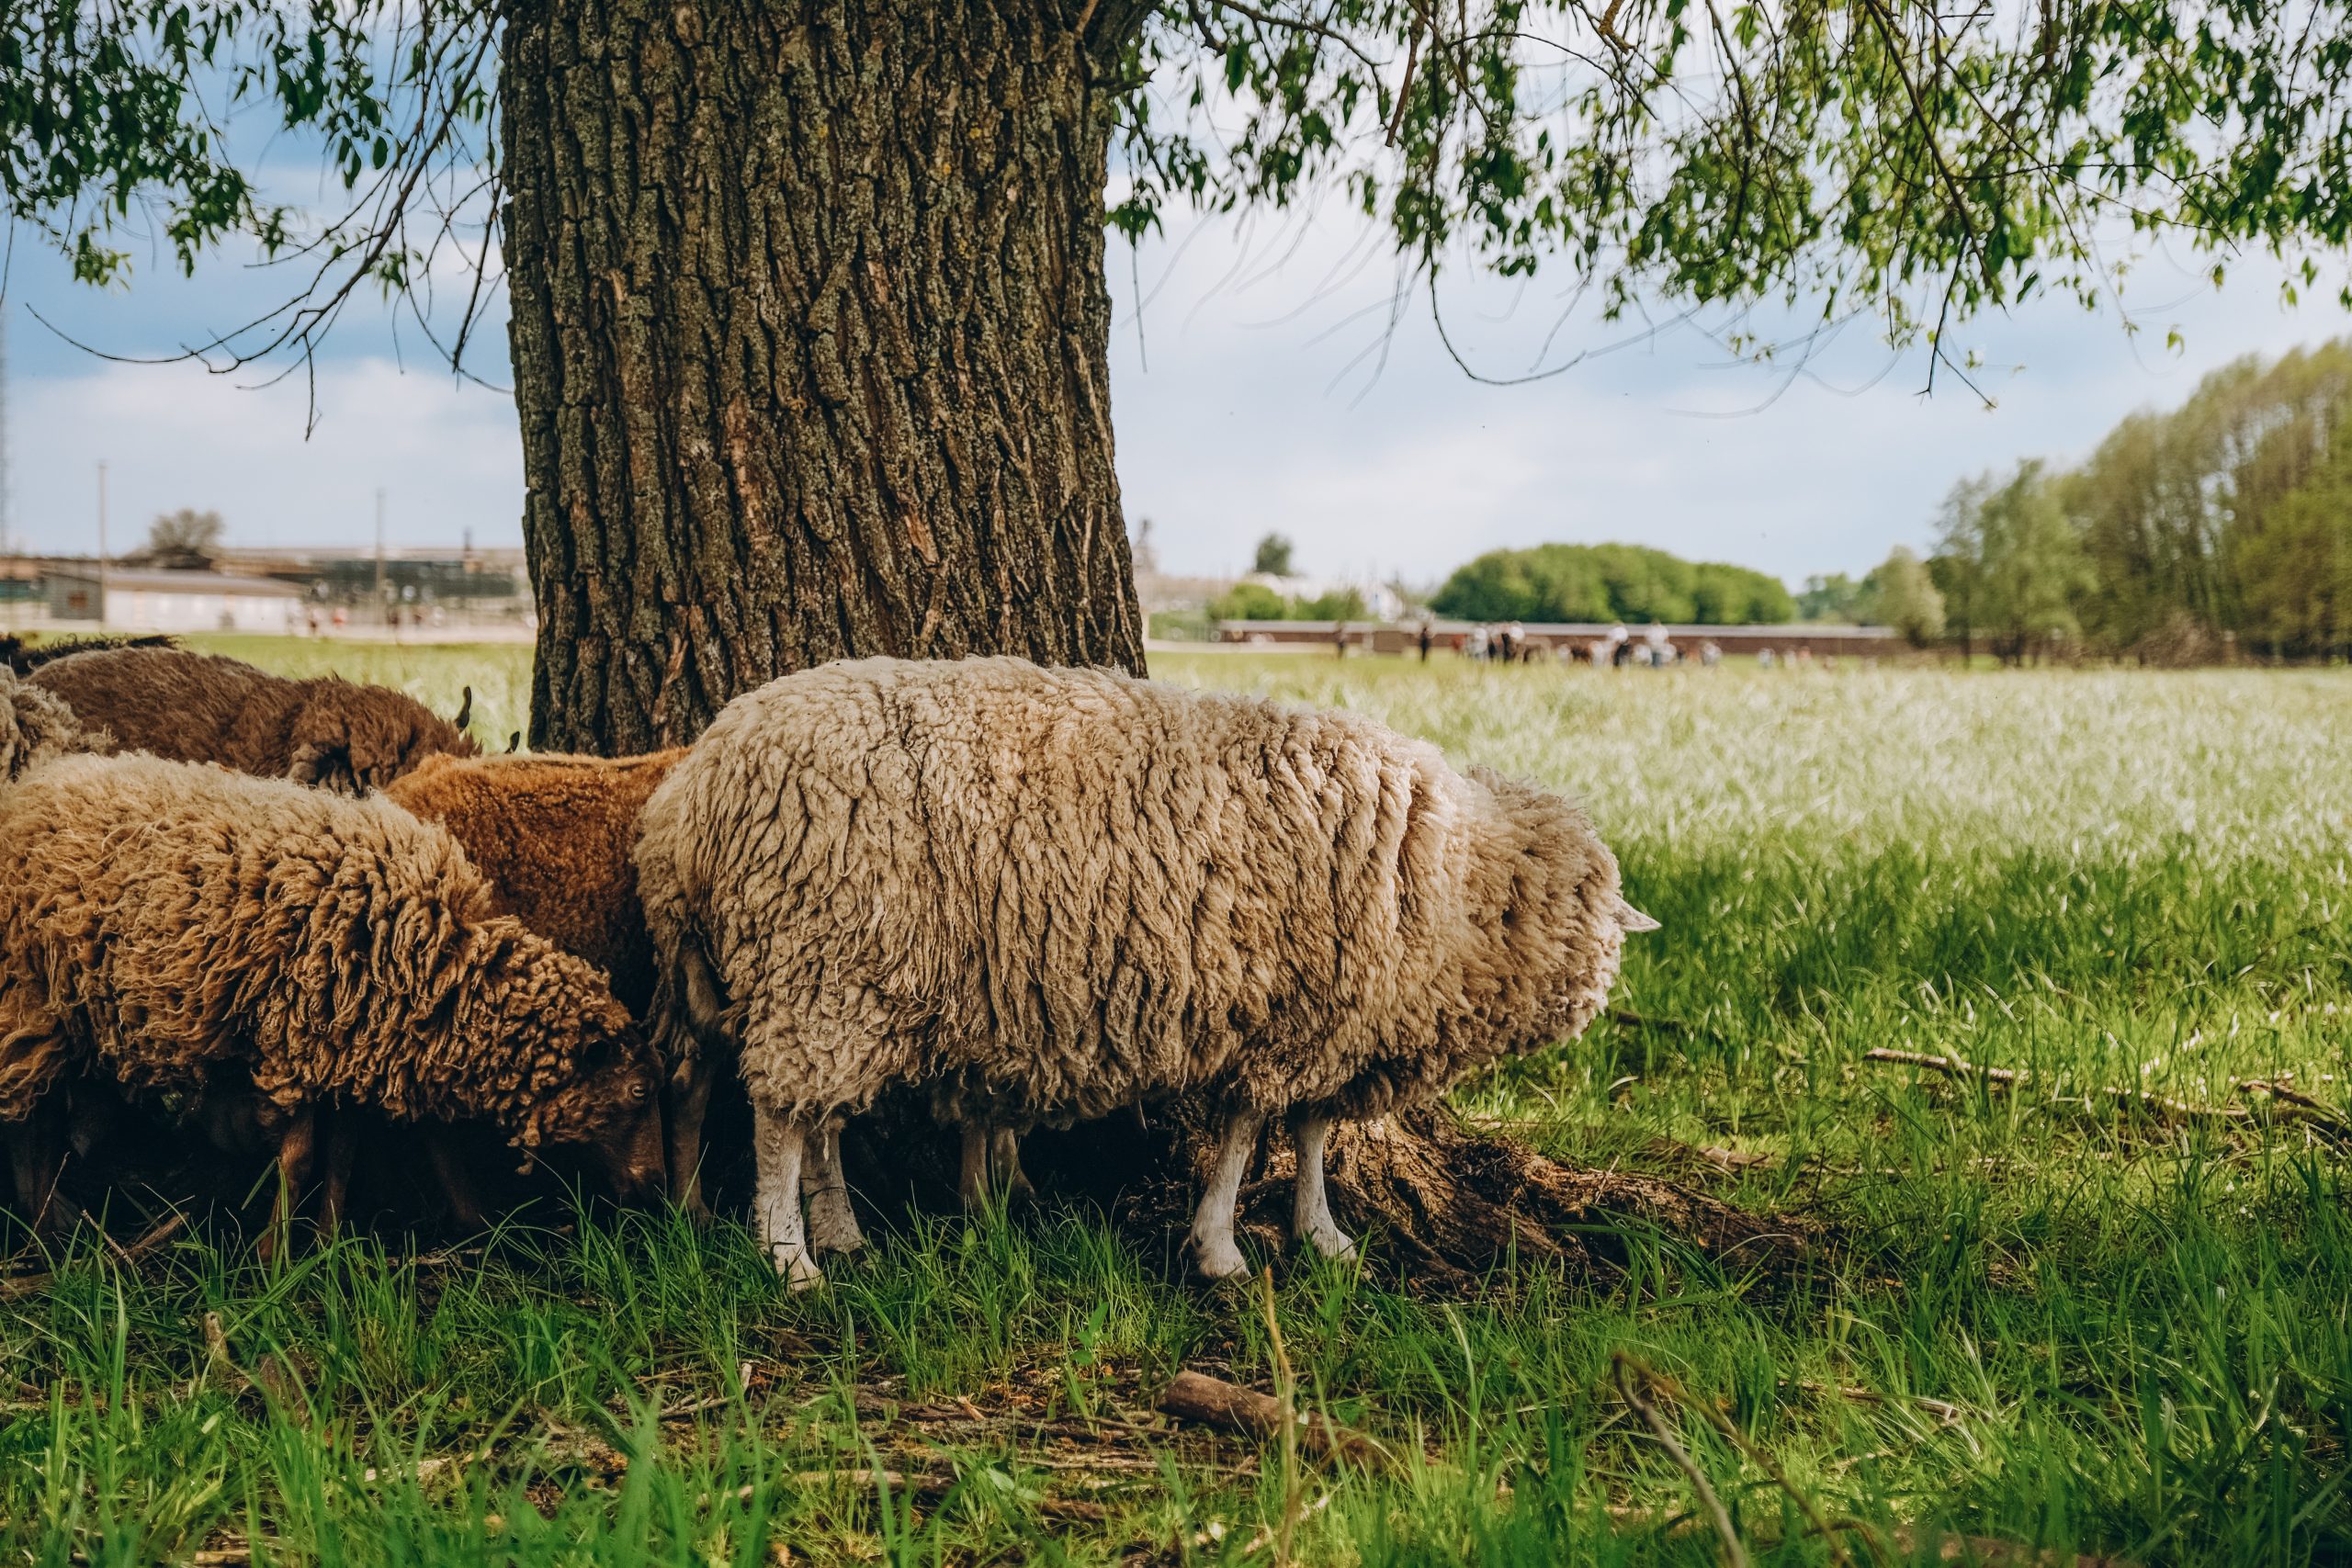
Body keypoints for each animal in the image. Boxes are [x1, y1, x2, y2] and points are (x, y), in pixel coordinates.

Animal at [0, 742, 669, 1240]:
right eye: (638, 1091)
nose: (657, 1186)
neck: (435, 954)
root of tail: (33, 783)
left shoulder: (347, 1045)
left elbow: (341, 1153)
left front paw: (325, 1244)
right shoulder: (295, 1038)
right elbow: (298, 1160)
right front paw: (277, 1260)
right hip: (32, 997)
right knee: (32, 1122)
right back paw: (47, 1230)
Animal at [633, 655, 1656, 1287]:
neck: (1458, 875)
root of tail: (694, 790)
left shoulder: (1328, 1023)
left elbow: (1313, 1135)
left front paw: (1322, 1235)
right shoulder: (1288, 1021)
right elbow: (1246, 1139)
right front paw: (1222, 1251)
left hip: (810, 977)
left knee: (761, 1099)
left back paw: (763, 1223)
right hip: (822, 960)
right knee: (778, 1120)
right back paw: (788, 1256)